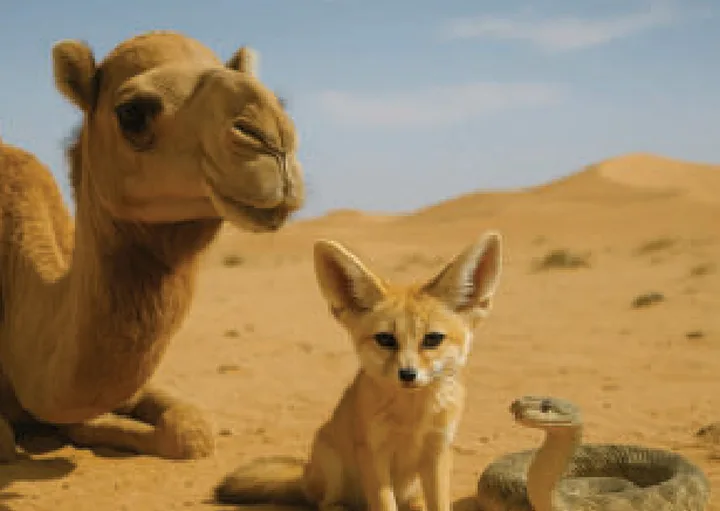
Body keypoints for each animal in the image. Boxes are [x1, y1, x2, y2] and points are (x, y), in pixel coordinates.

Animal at [214, 231, 503, 511]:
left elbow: (440, 504)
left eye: (432, 339)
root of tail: (305, 474)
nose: (408, 375)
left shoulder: (438, 451)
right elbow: (385, 506)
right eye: (385, 339)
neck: (412, 418)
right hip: (332, 464)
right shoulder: (374, 453)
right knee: (324, 503)